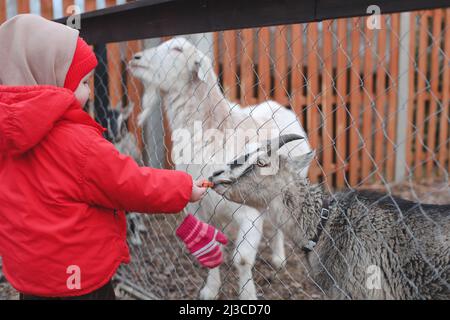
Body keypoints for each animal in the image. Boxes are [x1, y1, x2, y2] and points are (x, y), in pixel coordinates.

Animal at [130, 37, 312, 300]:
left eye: (177, 49)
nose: (136, 59)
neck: (216, 129)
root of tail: (277, 105)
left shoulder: (249, 211)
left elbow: (243, 259)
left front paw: (248, 295)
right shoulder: (199, 208)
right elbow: (211, 249)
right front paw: (210, 289)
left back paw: (278, 257)